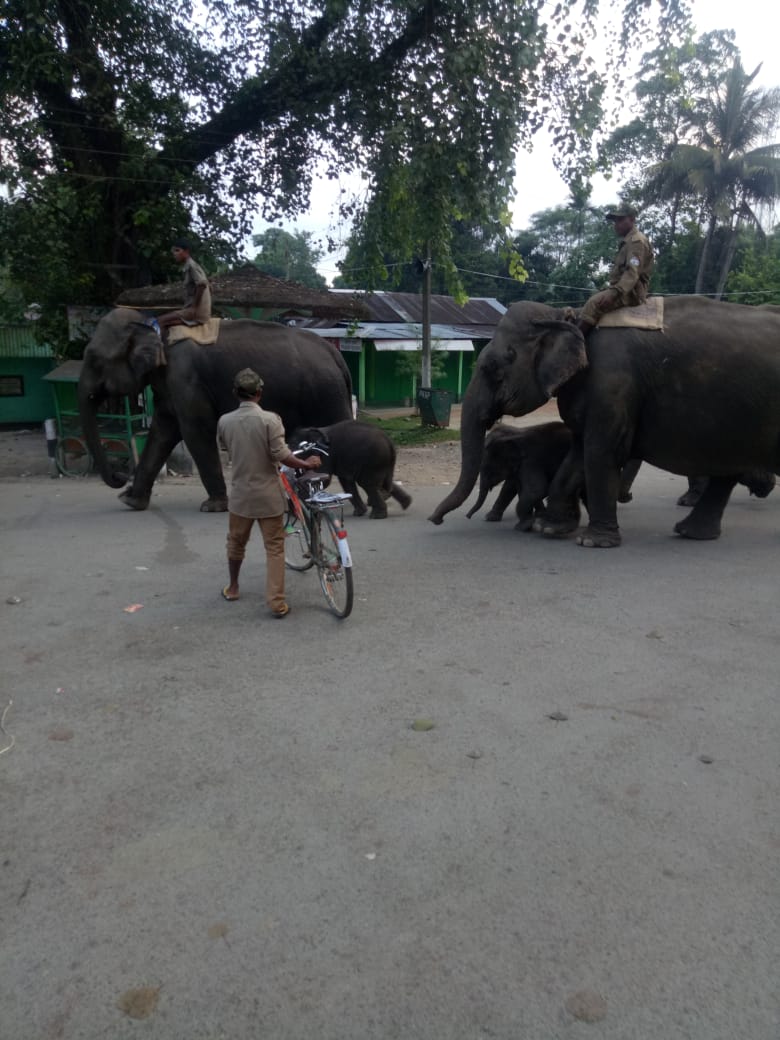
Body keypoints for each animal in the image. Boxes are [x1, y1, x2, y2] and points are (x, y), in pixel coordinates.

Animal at [78, 307, 353, 511]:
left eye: (94, 360)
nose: (120, 477)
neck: (155, 327)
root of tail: (336, 355)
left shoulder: (186, 378)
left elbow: (195, 431)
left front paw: (212, 507)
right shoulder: (170, 386)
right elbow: (162, 431)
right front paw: (131, 501)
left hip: (327, 392)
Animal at [430, 299, 780, 549]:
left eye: (492, 366)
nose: (435, 521)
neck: (569, 318)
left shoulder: (613, 384)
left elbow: (600, 451)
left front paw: (592, 541)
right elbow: (578, 451)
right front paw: (551, 527)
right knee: (728, 470)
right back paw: (690, 532)